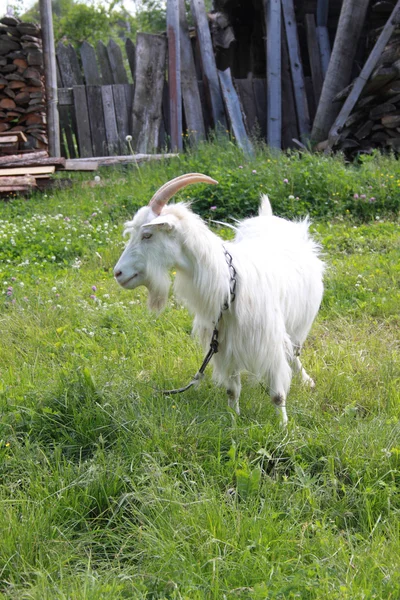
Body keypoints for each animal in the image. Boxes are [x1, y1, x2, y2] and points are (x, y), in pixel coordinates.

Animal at [113, 173, 324, 426]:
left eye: (147, 235)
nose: (118, 273)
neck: (229, 284)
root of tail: (268, 216)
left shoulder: (269, 342)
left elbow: (277, 394)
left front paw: (283, 426)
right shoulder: (223, 345)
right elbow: (232, 390)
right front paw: (233, 420)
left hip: (299, 323)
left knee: (294, 352)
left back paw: (306, 380)